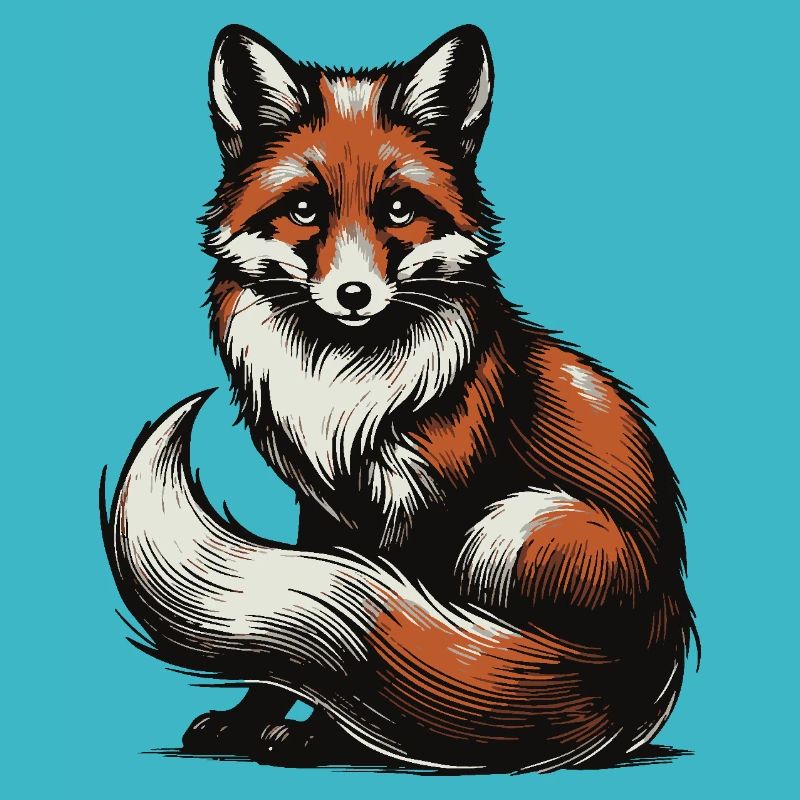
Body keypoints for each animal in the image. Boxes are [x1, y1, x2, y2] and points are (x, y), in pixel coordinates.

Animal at [101, 24, 698, 772]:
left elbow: (381, 651)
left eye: (398, 209)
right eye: (304, 209)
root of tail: (657, 649)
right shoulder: (324, 509)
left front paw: (327, 735)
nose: (353, 295)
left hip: (518, 524)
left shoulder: (429, 506)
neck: (345, 389)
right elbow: (298, 648)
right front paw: (252, 719)